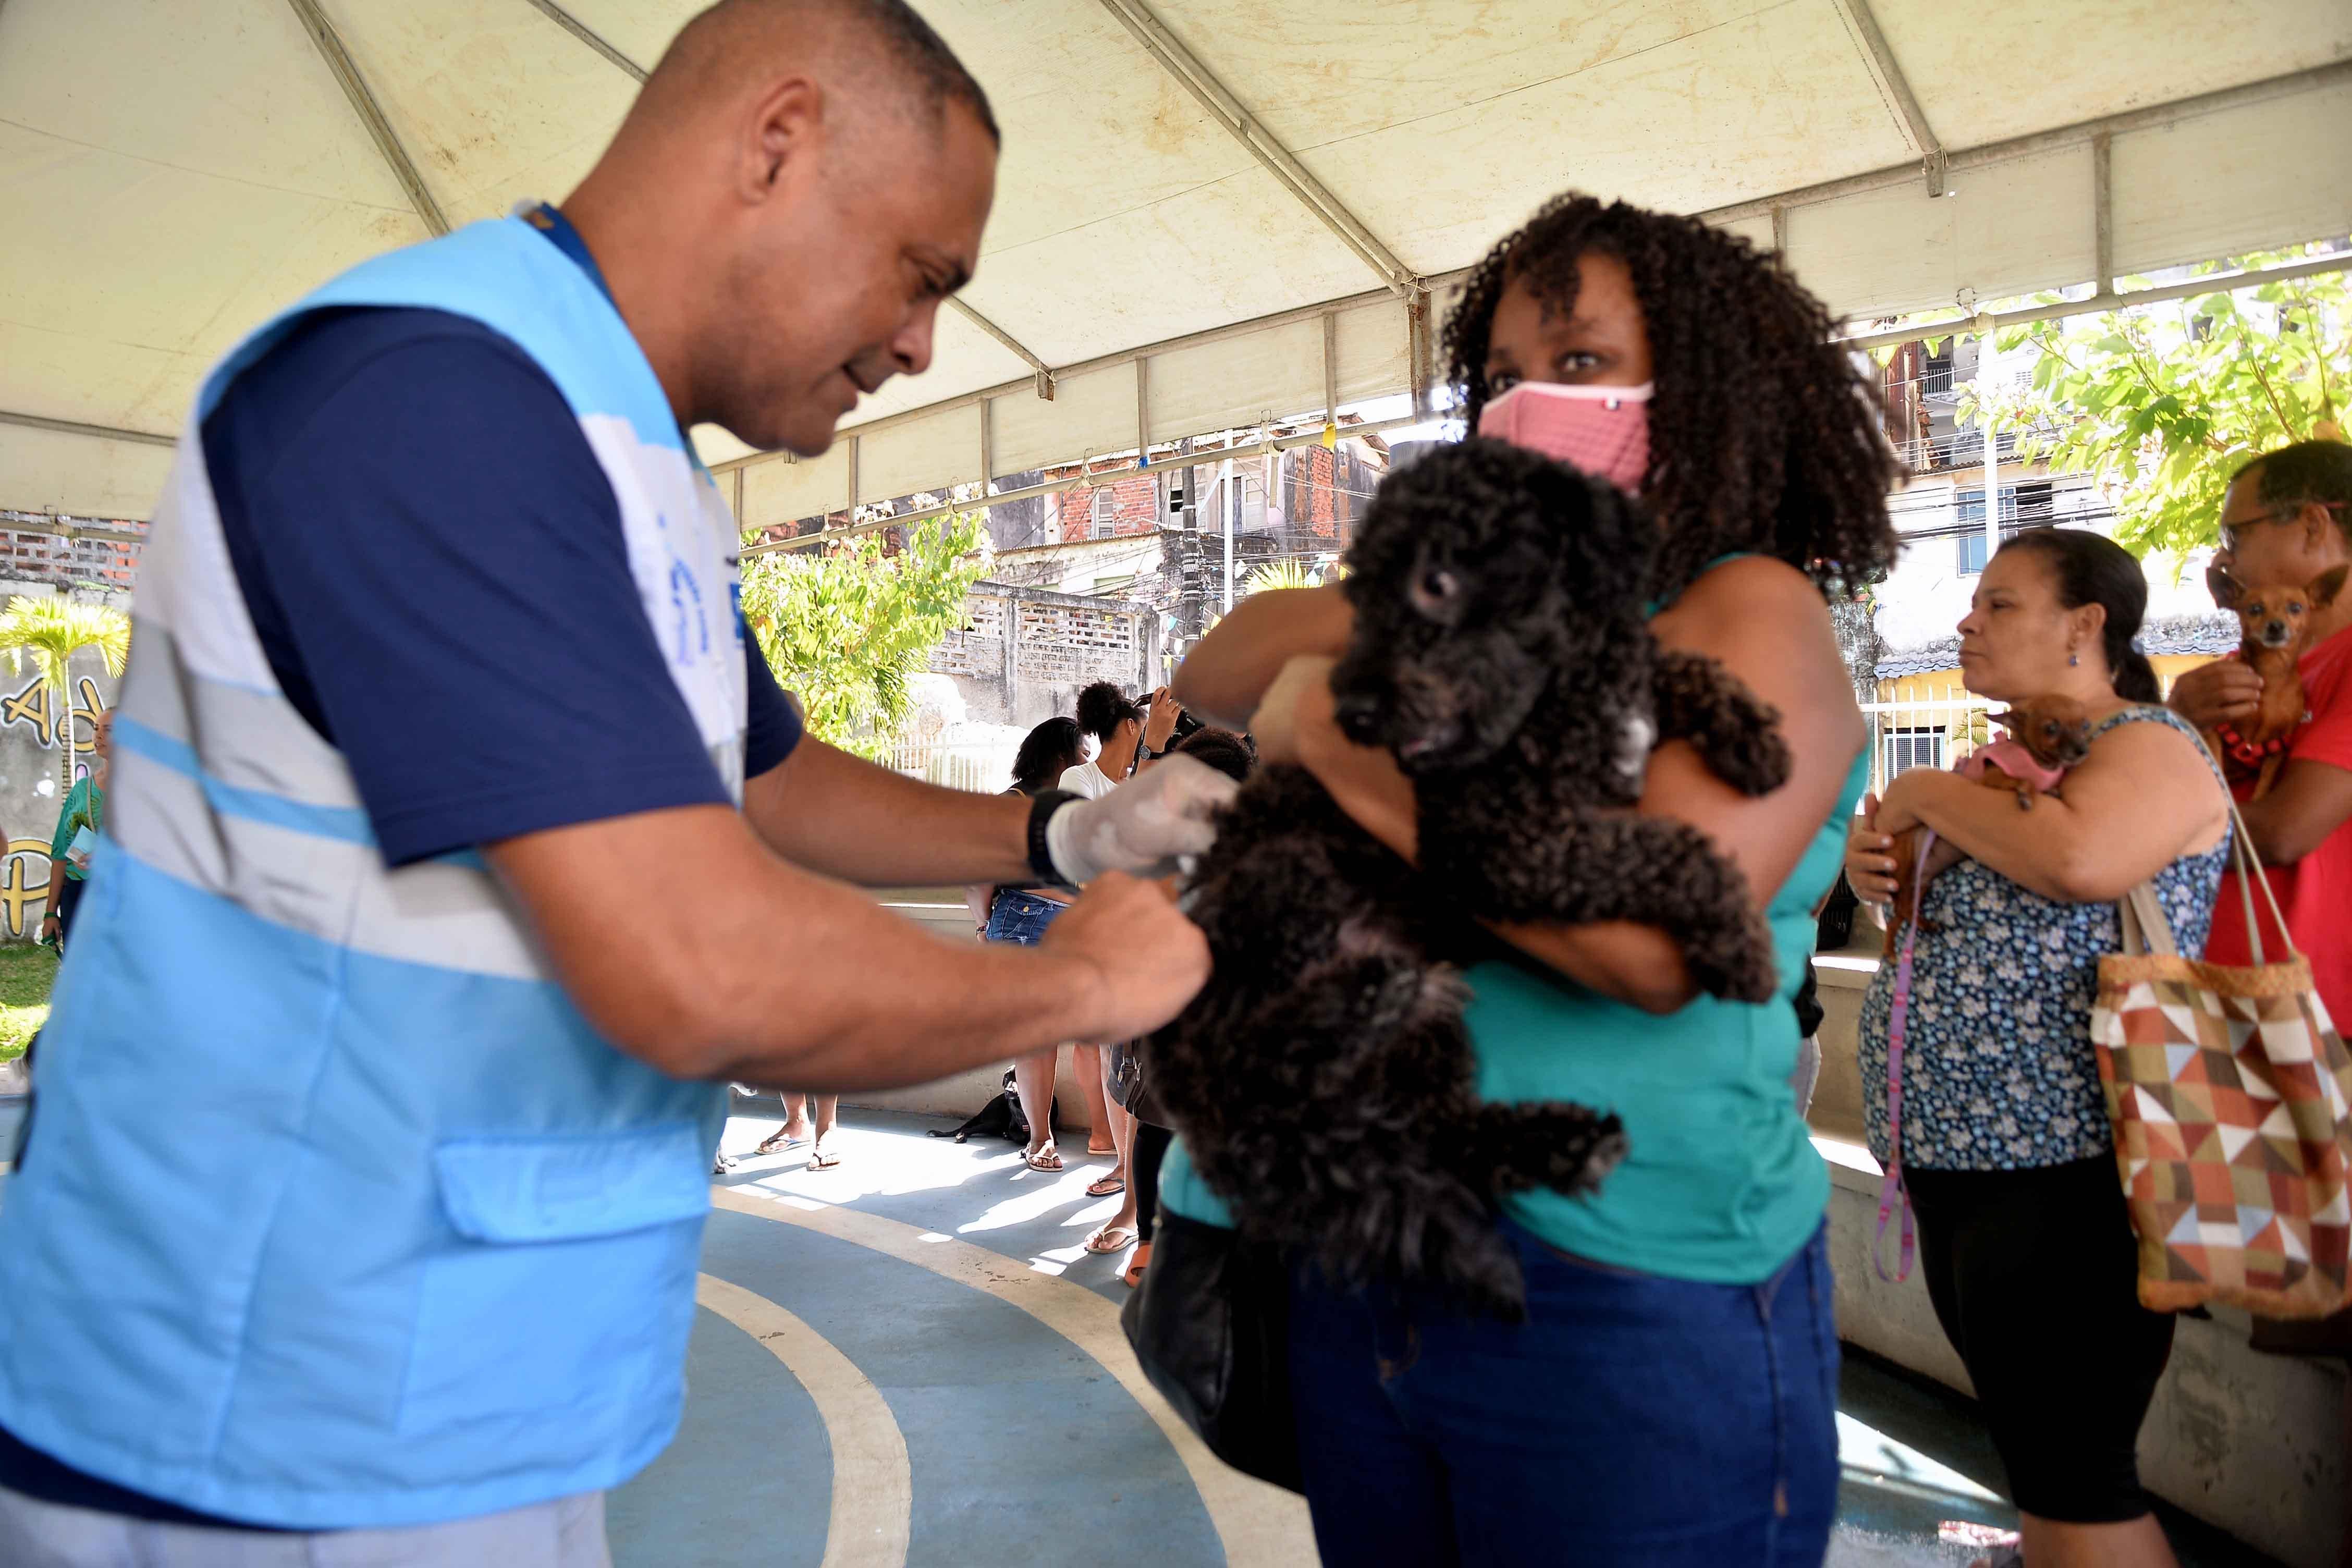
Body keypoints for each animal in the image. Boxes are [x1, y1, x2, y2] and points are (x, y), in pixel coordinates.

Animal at [1152, 435, 1778, 1316]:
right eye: (1359, 593)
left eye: (1437, 582)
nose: (1353, 715)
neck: (1547, 699)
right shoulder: (1497, 848)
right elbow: (1669, 849)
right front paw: (1738, 942)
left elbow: (1668, 666)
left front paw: (1750, 730)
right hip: (1294, 883)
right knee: (1272, 1052)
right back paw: (1363, 994)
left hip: (1429, 1040)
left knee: (1443, 1136)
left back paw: (1560, 1141)